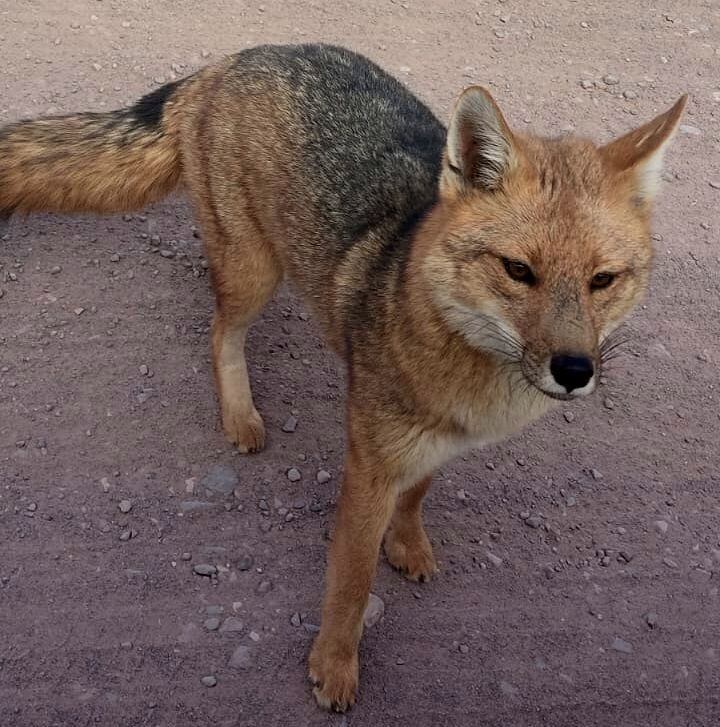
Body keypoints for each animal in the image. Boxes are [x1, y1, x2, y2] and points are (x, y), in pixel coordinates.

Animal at [0, 44, 688, 712]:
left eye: (603, 280)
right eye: (518, 271)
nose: (574, 371)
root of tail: (223, 64)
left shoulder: (436, 442)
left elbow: (418, 494)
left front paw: (406, 544)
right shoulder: (370, 464)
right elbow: (351, 585)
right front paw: (334, 667)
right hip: (254, 272)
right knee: (221, 332)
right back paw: (240, 415)